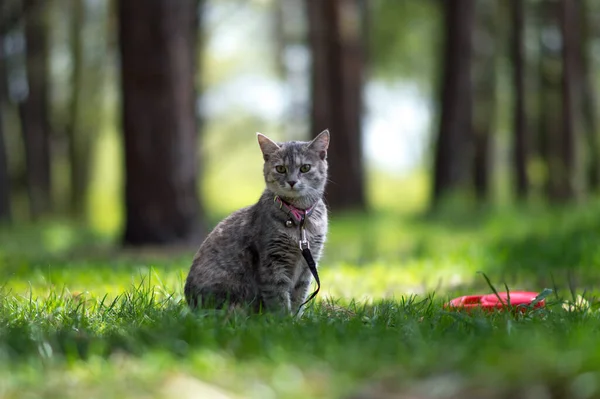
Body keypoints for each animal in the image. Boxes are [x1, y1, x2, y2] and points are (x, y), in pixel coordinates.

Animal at [184, 130, 330, 316]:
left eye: (305, 168)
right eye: (280, 168)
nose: (291, 181)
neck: (299, 217)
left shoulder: (308, 265)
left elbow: (298, 297)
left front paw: (295, 318)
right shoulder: (272, 262)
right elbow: (278, 297)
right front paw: (284, 320)